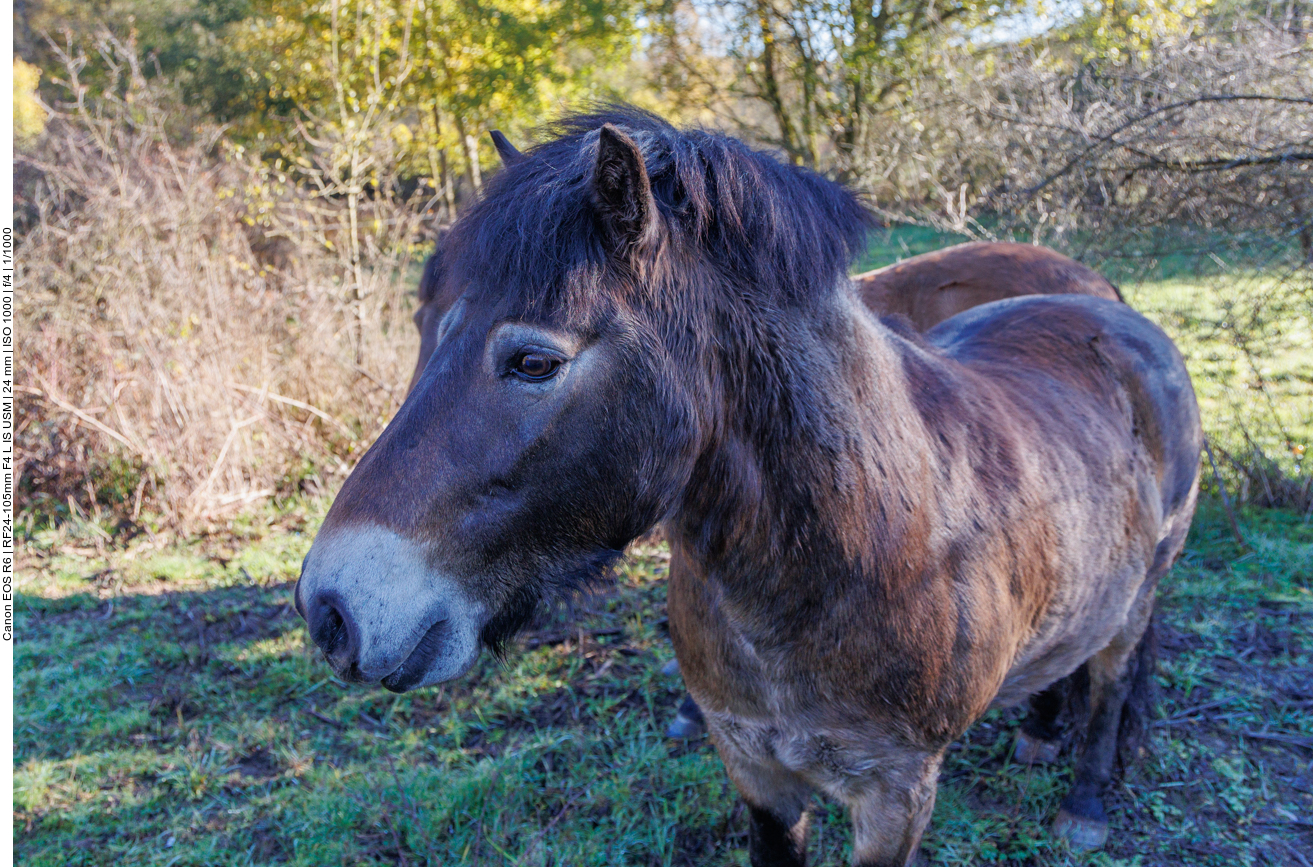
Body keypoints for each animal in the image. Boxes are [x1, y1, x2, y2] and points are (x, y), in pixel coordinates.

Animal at [296, 109, 1202, 866]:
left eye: (533, 361)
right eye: (421, 330)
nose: (330, 609)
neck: (859, 554)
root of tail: (1117, 316)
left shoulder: (896, 794)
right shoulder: (754, 769)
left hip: (1140, 592)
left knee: (1112, 676)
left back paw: (1085, 799)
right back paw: (1041, 726)